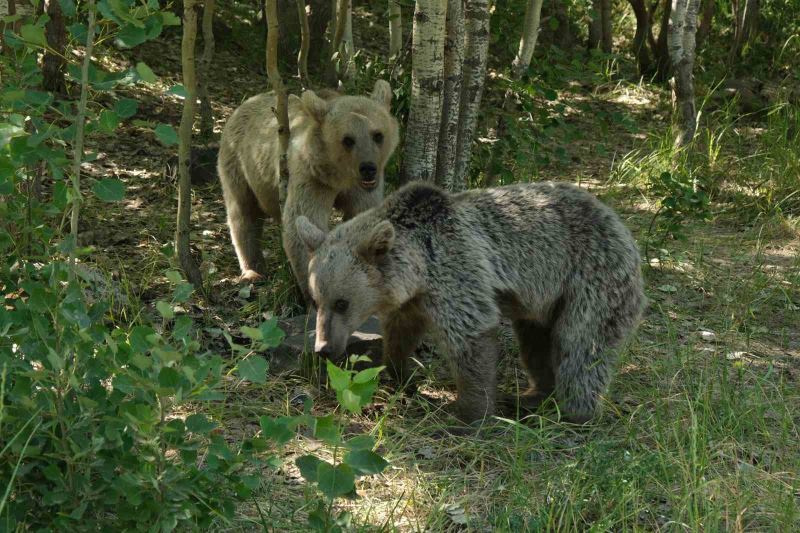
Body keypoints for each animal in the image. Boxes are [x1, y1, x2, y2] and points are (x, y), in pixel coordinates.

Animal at [217, 79, 400, 300]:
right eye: (348, 139)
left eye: (377, 135)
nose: (368, 168)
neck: (339, 177)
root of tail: (244, 103)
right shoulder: (311, 177)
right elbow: (303, 224)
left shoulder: (361, 191)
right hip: (239, 163)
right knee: (243, 213)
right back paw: (252, 270)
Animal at [296, 181, 648, 422]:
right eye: (316, 299)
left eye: (342, 302)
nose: (323, 348)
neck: (421, 269)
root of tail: (616, 219)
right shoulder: (413, 301)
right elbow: (400, 333)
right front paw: (398, 374)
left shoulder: (458, 275)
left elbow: (470, 340)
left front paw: (466, 412)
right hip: (545, 302)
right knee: (535, 342)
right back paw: (533, 396)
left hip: (591, 277)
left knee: (582, 345)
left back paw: (575, 413)